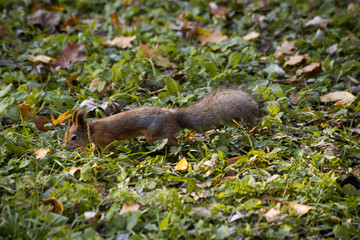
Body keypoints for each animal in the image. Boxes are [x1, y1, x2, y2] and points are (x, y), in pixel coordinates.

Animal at [63, 88, 258, 152]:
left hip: (155, 135)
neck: (92, 131)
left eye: (73, 137)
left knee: (173, 142)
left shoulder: (106, 138)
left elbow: (109, 148)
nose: (64, 147)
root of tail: (174, 116)